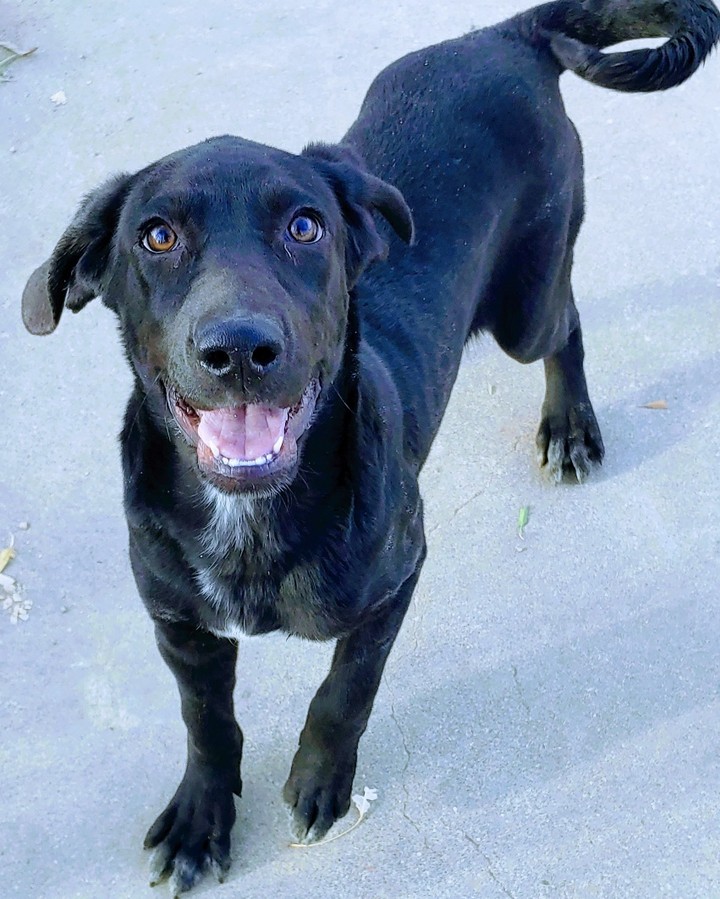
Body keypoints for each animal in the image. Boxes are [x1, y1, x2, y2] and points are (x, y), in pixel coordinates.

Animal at [19, 0, 716, 892]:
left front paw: (320, 780)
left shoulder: (399, 575)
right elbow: (202, 719)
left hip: (525, 304)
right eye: (157, 237)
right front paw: (202, 815)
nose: (238, 349)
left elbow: (345, 689)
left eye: (305, 225)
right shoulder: (177, 620)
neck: (249, 519)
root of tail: (502, 35)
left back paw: (569, 423)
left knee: (563, 322)